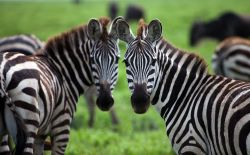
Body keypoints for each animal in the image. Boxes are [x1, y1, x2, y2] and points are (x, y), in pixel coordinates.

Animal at [0, 16, 121, 154]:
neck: (63, 73)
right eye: (92, 59)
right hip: (29, 123)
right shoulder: (61, 129)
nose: (105, 101)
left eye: (117, 59)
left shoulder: (40, 135)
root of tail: (3, 71)